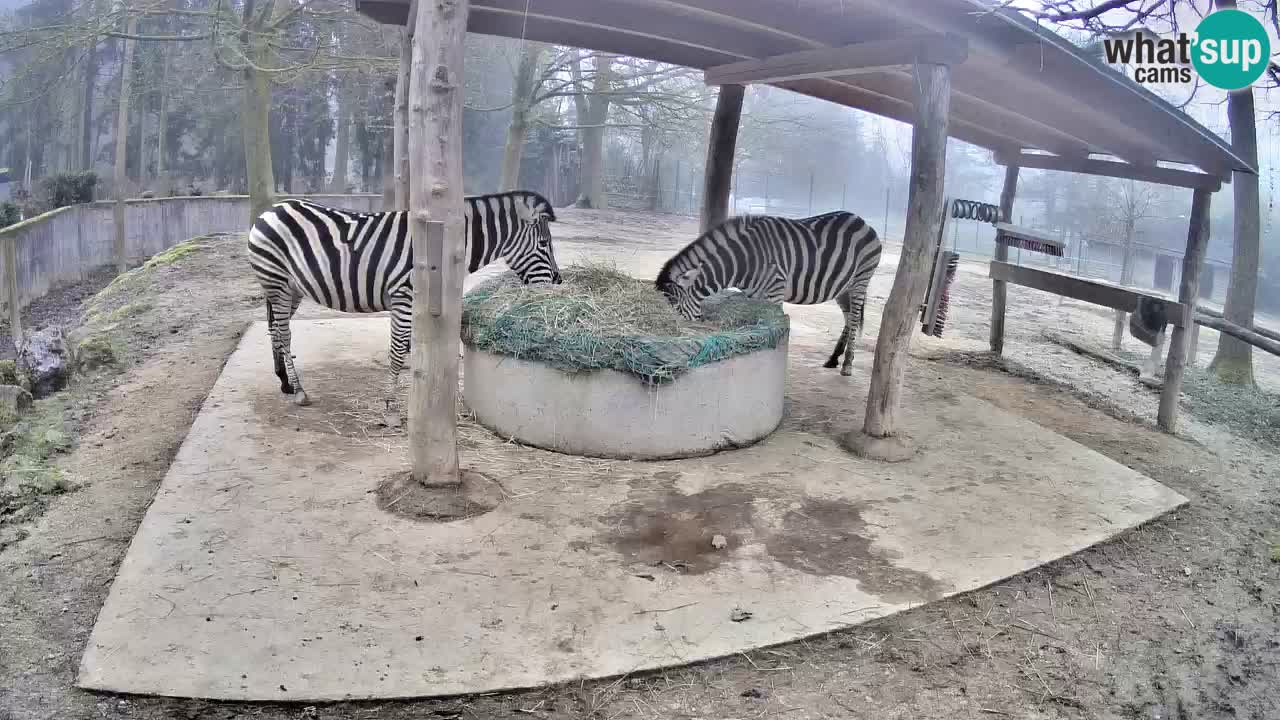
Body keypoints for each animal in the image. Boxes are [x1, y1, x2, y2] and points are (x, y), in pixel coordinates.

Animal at [247, 190, 562, 412]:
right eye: (544, 244)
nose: (558, 283)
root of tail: (269, 210)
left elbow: (414, 347)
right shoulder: (403, 295)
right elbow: (397, 350)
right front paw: (390, 405)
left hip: (290, 288)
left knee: (275, 329)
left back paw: (285, 382)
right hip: (277, 281)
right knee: (283, 334)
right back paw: (300, 391)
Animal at [655, 211, 881, 376]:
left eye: (675, 308)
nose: (668, 342)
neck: (744, 260)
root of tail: (861, 220)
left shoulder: (775, 291)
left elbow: (775, 325)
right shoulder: (754, 294)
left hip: (861, 280)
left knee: (854, 319)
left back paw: (847, 365)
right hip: (843, 287)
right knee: (849, 318)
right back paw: (833, 359)